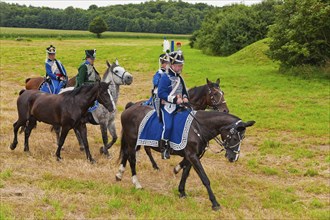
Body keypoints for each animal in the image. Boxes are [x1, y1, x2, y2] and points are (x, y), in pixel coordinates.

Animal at [114, 103, 254, 210]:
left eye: (242, 138)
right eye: (235, 138)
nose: (233, 158)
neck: (198, 127)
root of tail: (129, 108)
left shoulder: (192, 155)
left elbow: (185, 173)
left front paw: (181, 191)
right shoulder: (193, 156)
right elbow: (204, 178)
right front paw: (214, 203)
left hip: (133, 143)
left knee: (126, 154)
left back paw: (119, 174)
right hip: (133, 142)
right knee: (132, 160)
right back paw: (136, 183)